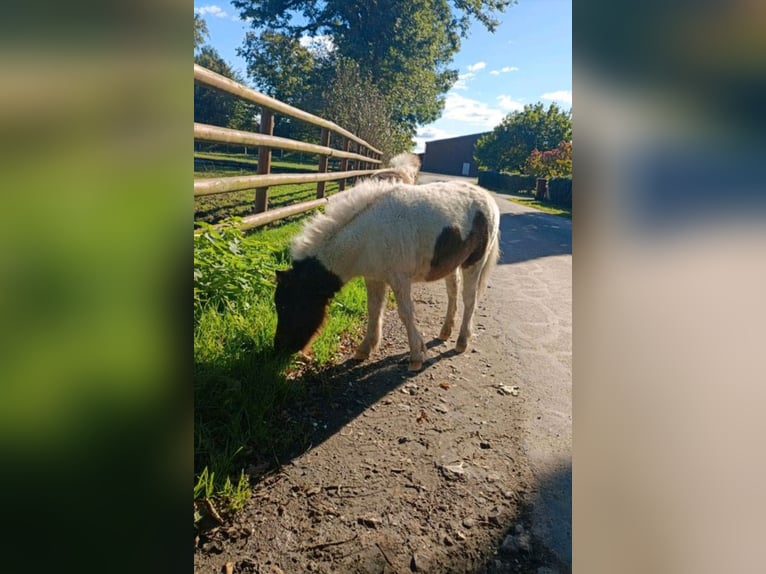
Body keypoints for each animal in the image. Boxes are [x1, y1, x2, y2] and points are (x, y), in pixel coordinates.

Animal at [276, 178, 504, 374]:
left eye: (290, 306)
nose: (281, 348)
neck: (368, 236)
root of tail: (489, 199)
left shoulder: (399, 279)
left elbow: (405, 313)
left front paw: (416, 356)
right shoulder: (374, 278)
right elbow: (374, 310)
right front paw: (364, 349)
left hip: (474, 263)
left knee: (470, 299)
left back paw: (461, 342)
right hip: (452, 264)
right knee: (453, 292)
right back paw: (445, 332)